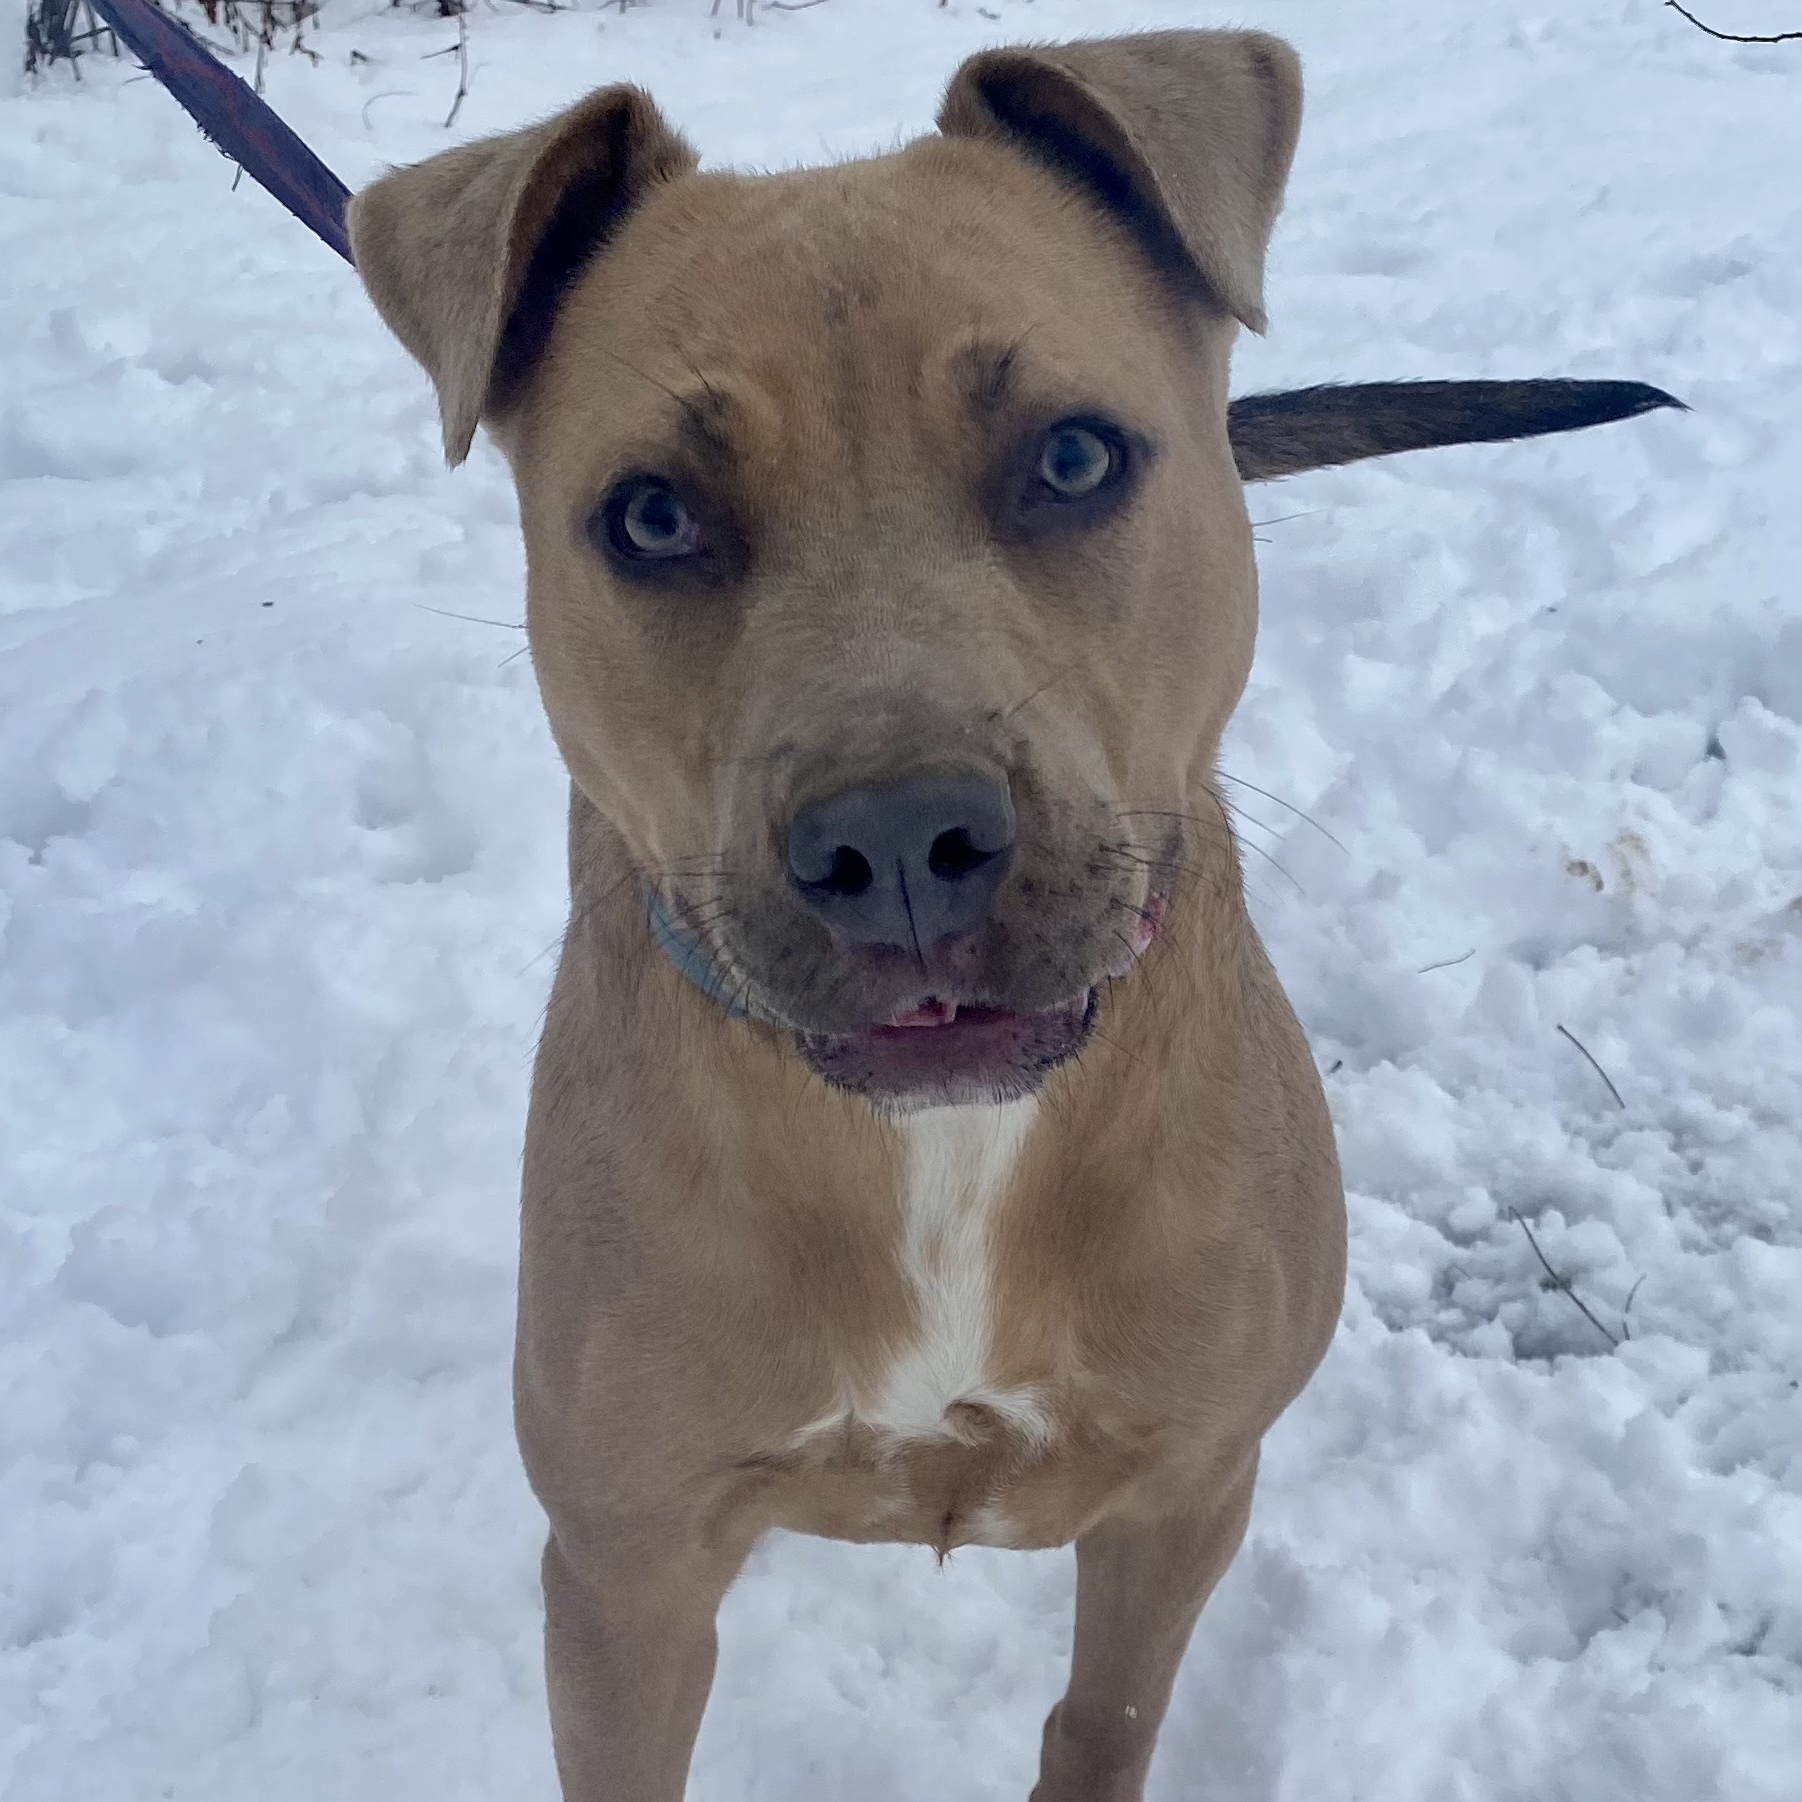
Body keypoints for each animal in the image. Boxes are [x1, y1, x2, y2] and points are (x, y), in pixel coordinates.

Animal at [351, 31, 1347, 1802]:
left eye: (1072, 456)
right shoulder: (622, 1569)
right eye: (652, 514)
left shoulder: (1189, 1485)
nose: (895, 840)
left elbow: (1106, 1714)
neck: (943, 1152)